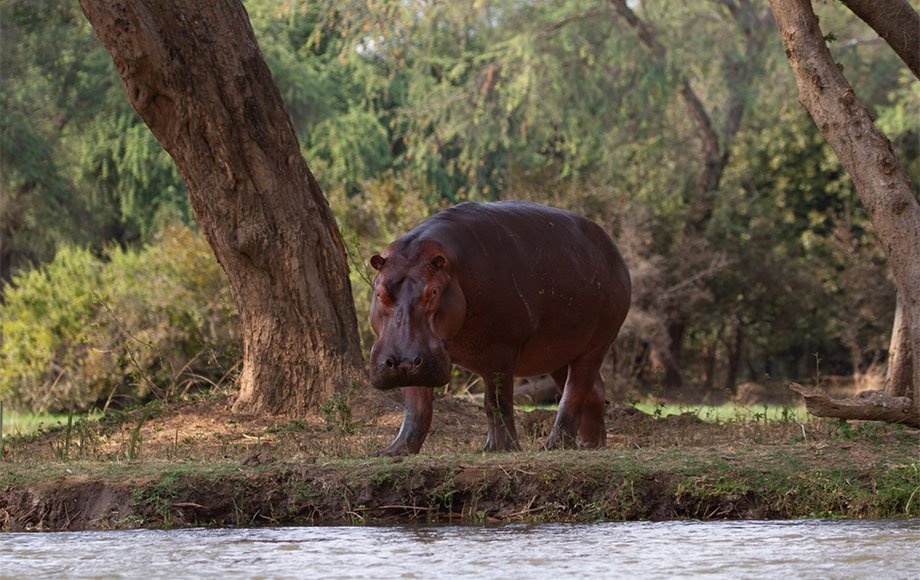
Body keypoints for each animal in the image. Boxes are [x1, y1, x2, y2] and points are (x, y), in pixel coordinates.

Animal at [368, 202, 632, 456]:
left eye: (433, 291)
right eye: (379, 292)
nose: (401, 361)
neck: (453, 266)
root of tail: (611, 246)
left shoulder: (500, 347)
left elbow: (496, 400)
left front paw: (500, 449)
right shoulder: (418, 359)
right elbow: (416, 407)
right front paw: (392, 452)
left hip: (596, 345)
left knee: (574, 391)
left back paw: (554, 446)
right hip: (559, 351)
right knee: (594, 388)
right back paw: (590, 445)